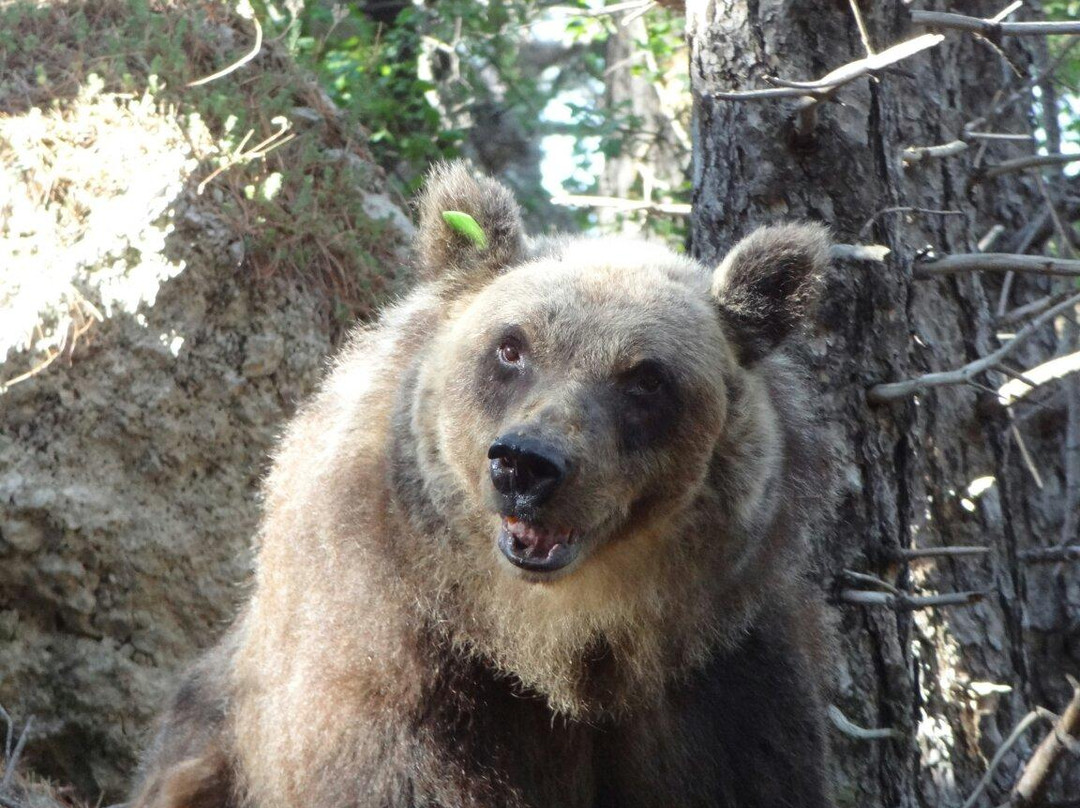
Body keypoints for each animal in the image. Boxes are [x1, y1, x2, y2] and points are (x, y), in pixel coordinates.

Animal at [130, 161, 838, 808]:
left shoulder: (725, 679)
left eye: (646, 377)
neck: (559, 646)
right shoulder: (384, 651)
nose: (526, 465)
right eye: (511, 347)